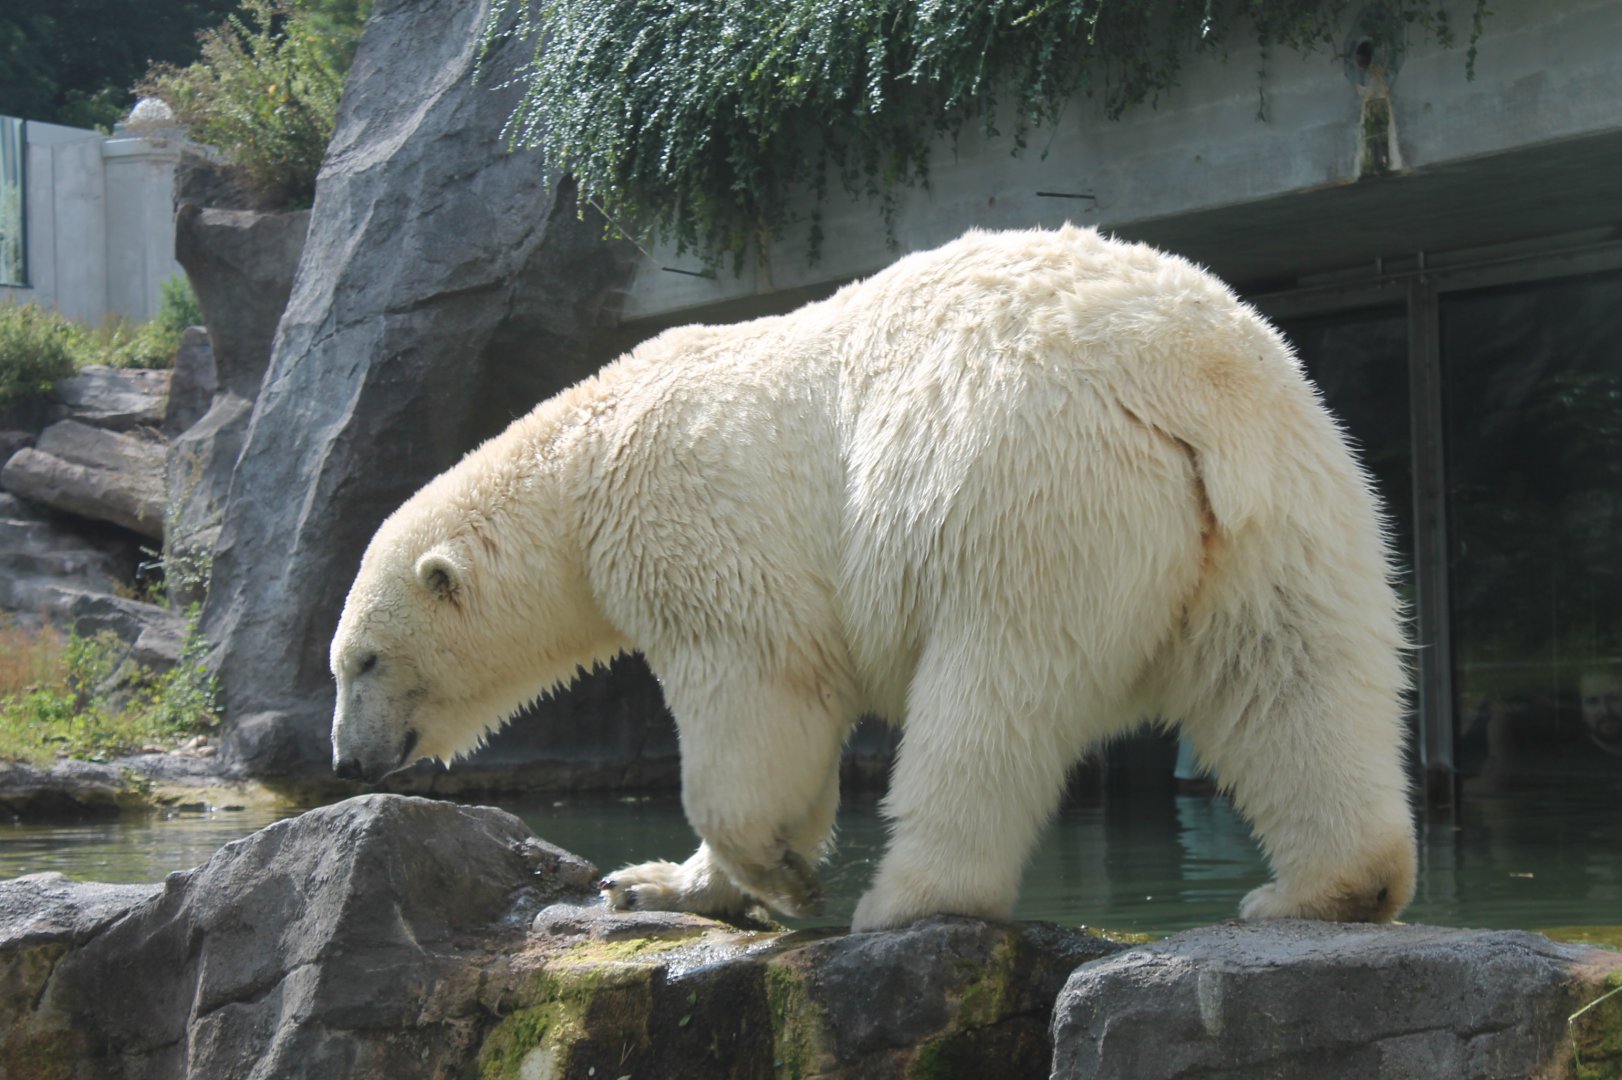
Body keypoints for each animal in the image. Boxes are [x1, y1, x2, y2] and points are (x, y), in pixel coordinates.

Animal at [329, 225, 1417, 931]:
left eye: (363, 661)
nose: (344, 759)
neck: (584, 457)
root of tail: (1188, 382)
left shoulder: (696, 525)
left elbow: (756, 704)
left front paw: (781, 880)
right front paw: (654, 883)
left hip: (1028, 492)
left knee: (988, 703)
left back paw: (901, 901)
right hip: (1294, 507)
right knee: (1296, 679)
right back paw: (1327, 888)